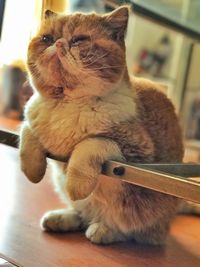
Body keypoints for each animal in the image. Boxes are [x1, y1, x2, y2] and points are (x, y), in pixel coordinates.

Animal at [19, 5, 185, 245]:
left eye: (79, 40)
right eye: (46, 38)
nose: (57, 43)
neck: (66, 105)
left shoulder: (138, 154)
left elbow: (92, 143)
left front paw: (77, 185)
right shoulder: (32, 119)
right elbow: (27, 132)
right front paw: (32, 171)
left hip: (140, 215)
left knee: (129, 231)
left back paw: (102, 230)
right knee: (82, 214)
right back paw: (58, 219)